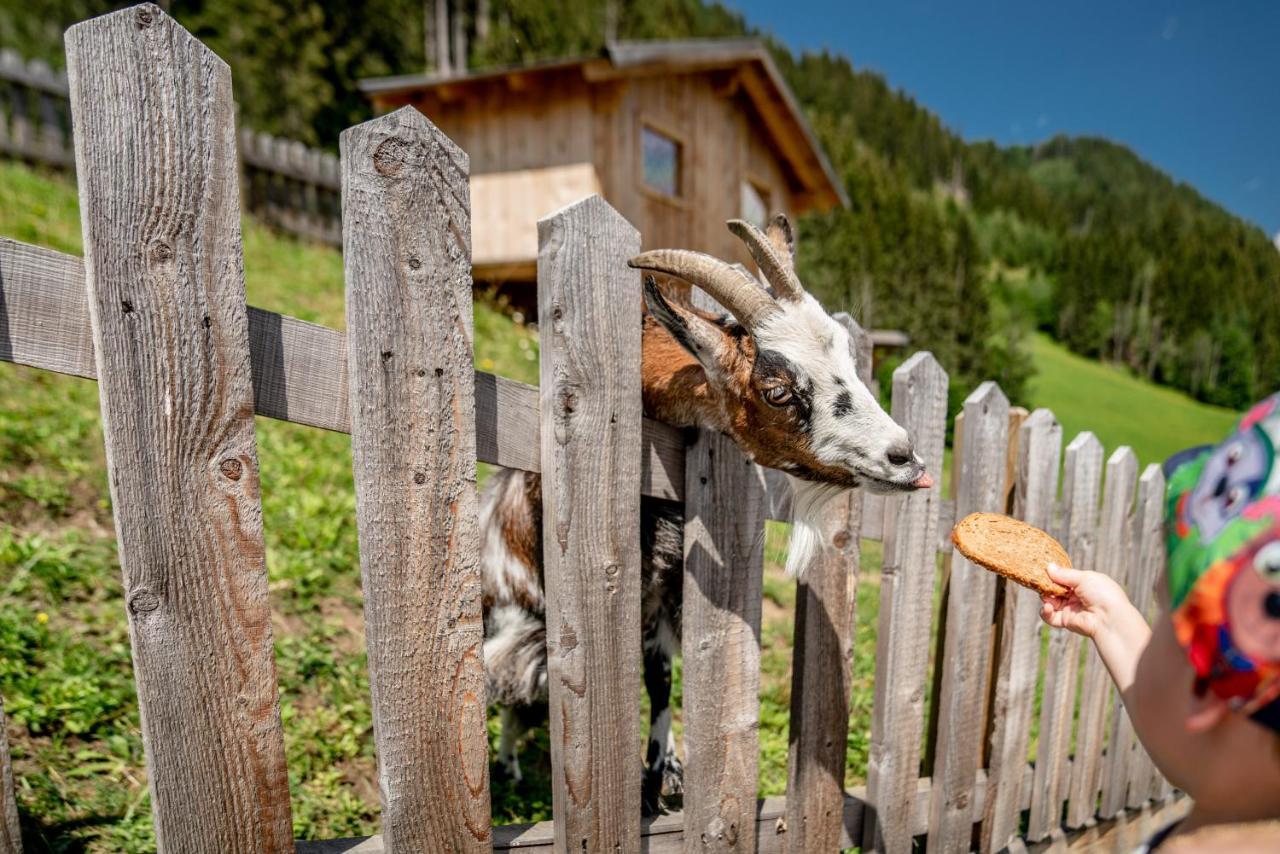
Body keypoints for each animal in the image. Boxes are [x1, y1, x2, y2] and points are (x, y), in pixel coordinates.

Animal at [481, 213, 931, 814]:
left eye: (850, 362)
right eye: (776, 390)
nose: (906, 458)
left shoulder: (662, 593)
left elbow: (659, 676)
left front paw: (664, 772)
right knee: (514, 693)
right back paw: (508, 765)